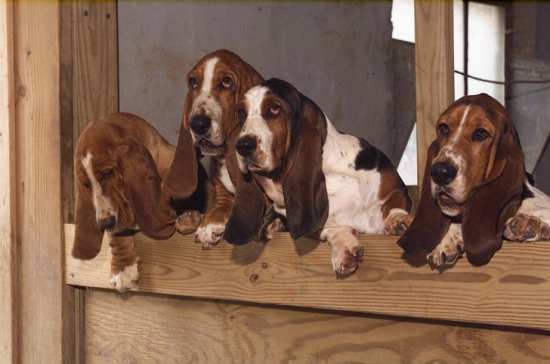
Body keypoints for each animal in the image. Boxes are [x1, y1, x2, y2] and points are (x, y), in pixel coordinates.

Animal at [73, 112, 209, 292]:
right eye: (86, 184)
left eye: (108, 173)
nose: (104, 223)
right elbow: (117, 234)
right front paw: (123, 268)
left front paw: (190, 218)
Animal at [225, 77, 414, 276]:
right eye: (241, 113)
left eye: (274, 109)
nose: (243, 145)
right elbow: (327, 227)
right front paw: (344, 246)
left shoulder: (395, 186)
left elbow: (394, 202)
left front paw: (398, 220)